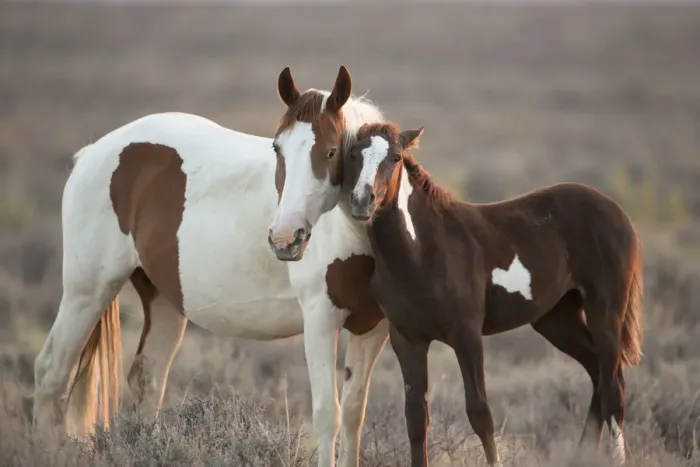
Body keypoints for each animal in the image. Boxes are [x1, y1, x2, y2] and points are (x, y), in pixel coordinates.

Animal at [32, 65, 389, 467]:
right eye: (277, 148)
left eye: (331, 151)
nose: (285, 239)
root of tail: (93, 153)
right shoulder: (320, 320)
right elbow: (329, 414)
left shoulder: (372, 327)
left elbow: (354, 414)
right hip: (87, 291)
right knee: (51, 372)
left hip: (162, 300)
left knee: (146, 378)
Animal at [340, 121, 644, 467]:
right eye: (353, 154)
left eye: (394, 158)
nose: (362, 201)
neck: (421, 250)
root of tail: (617, 211)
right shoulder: (407, 339)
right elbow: (416, 418)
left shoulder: (467, 335)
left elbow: (480, 413)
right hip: (556, 319)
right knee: (597, 374)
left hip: (605, 312)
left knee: (614, 388)